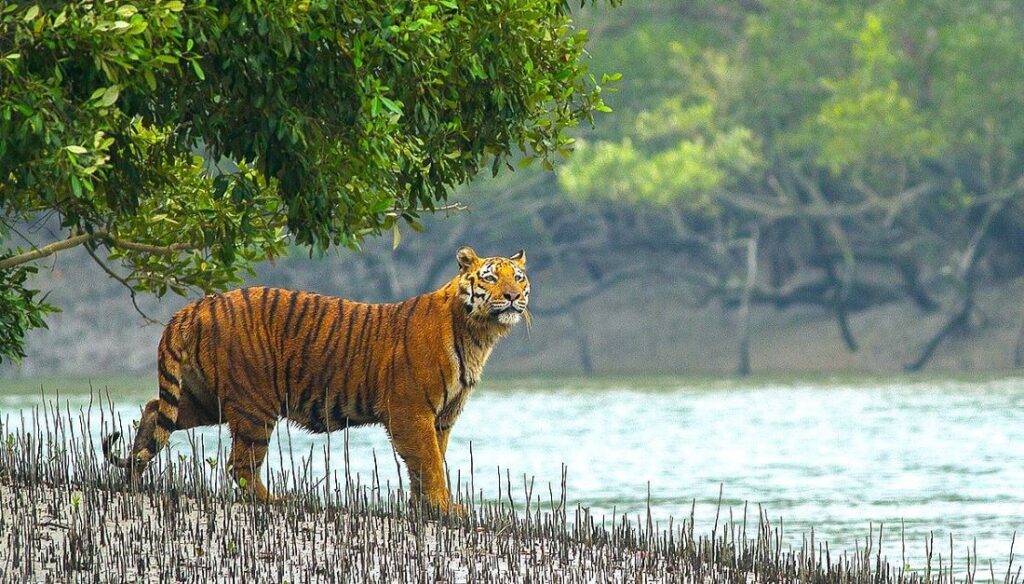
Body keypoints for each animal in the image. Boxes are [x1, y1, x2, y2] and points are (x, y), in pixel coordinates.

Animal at [102, 245, 528, 508]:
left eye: (519, 277)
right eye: (491, 278)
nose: (511, 296)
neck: (479, 334)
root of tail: (193, 307)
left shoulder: (442, 417)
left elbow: (429, 462)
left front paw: (426, 507)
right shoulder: (411, 411)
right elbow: (429, 462)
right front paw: (445, 508)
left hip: (205, 398)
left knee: (154, 410)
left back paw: (134, 475)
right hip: (255, 404)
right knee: (240, 465)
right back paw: (274, 500)